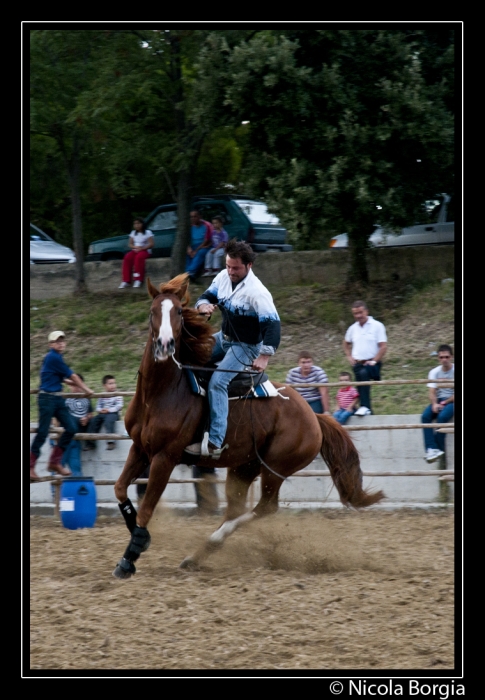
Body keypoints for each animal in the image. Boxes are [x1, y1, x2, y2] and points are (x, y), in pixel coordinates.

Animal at [111, 274, 384, 580]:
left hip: (275, 468)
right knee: (235, 508)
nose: (165, 345)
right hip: (244, 466)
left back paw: (212, 542)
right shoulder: (140, 449)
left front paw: (129, 558)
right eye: (152, 312)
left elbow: (146, 509)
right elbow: (120, 489)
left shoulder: (164, 458)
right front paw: (138, 537)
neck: (162, 392)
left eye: (179, 312)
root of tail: (313, 416)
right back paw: (197, 556)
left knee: (265, 508)